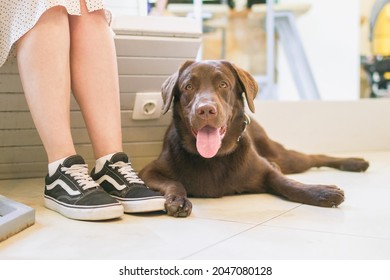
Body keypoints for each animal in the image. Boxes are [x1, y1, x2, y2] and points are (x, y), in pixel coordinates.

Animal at [139, 60, 368, 218]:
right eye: (188, 86)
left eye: (223, 84)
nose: (205, 110)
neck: (213, 158)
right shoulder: (148, 171)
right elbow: (174, 183)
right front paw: (178, 200)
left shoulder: (265, 170)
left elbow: (287, 183)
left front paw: (321, 192)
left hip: (284, 156)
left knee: (313, 158)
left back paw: (356, 162)